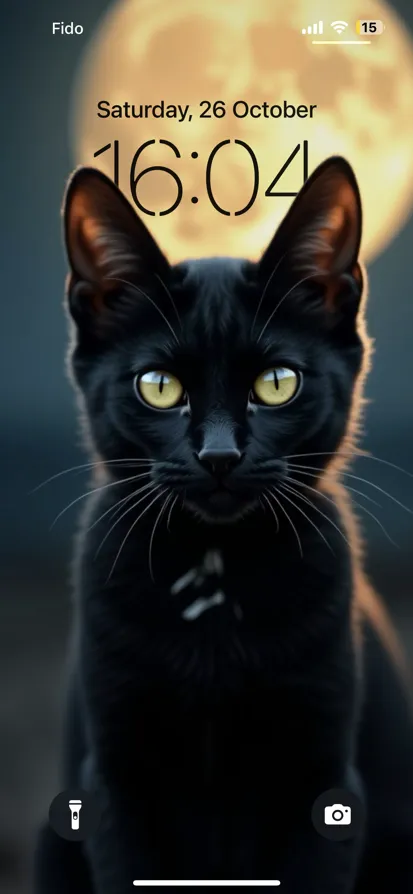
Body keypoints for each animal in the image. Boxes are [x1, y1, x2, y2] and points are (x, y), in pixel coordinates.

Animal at [33, 158, 412, 892]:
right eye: (158, 386)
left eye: (276, 383)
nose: (218, 456)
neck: (215, 576)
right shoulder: (115, 782)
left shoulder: (323, 783)